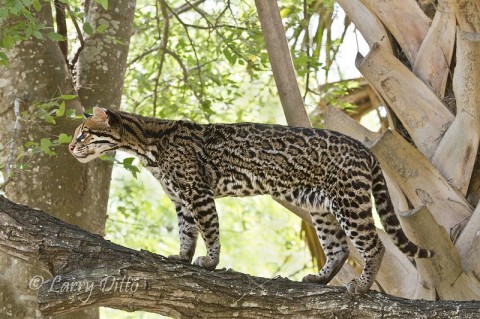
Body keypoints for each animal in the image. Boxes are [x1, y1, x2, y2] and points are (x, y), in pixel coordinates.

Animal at [69, 108, 434, 296]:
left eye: (83, 133)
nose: (71, 147)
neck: (149, 143)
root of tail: (366, 149)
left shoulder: (198, 194)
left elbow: (209, 230)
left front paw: (210, 262)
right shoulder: (182, 201)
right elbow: (187, 234)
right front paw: (182, 258)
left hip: (348, 201)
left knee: (374, 244)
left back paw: (361, 285)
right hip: (319, 206)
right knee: (339, 247)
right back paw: (320, 279)